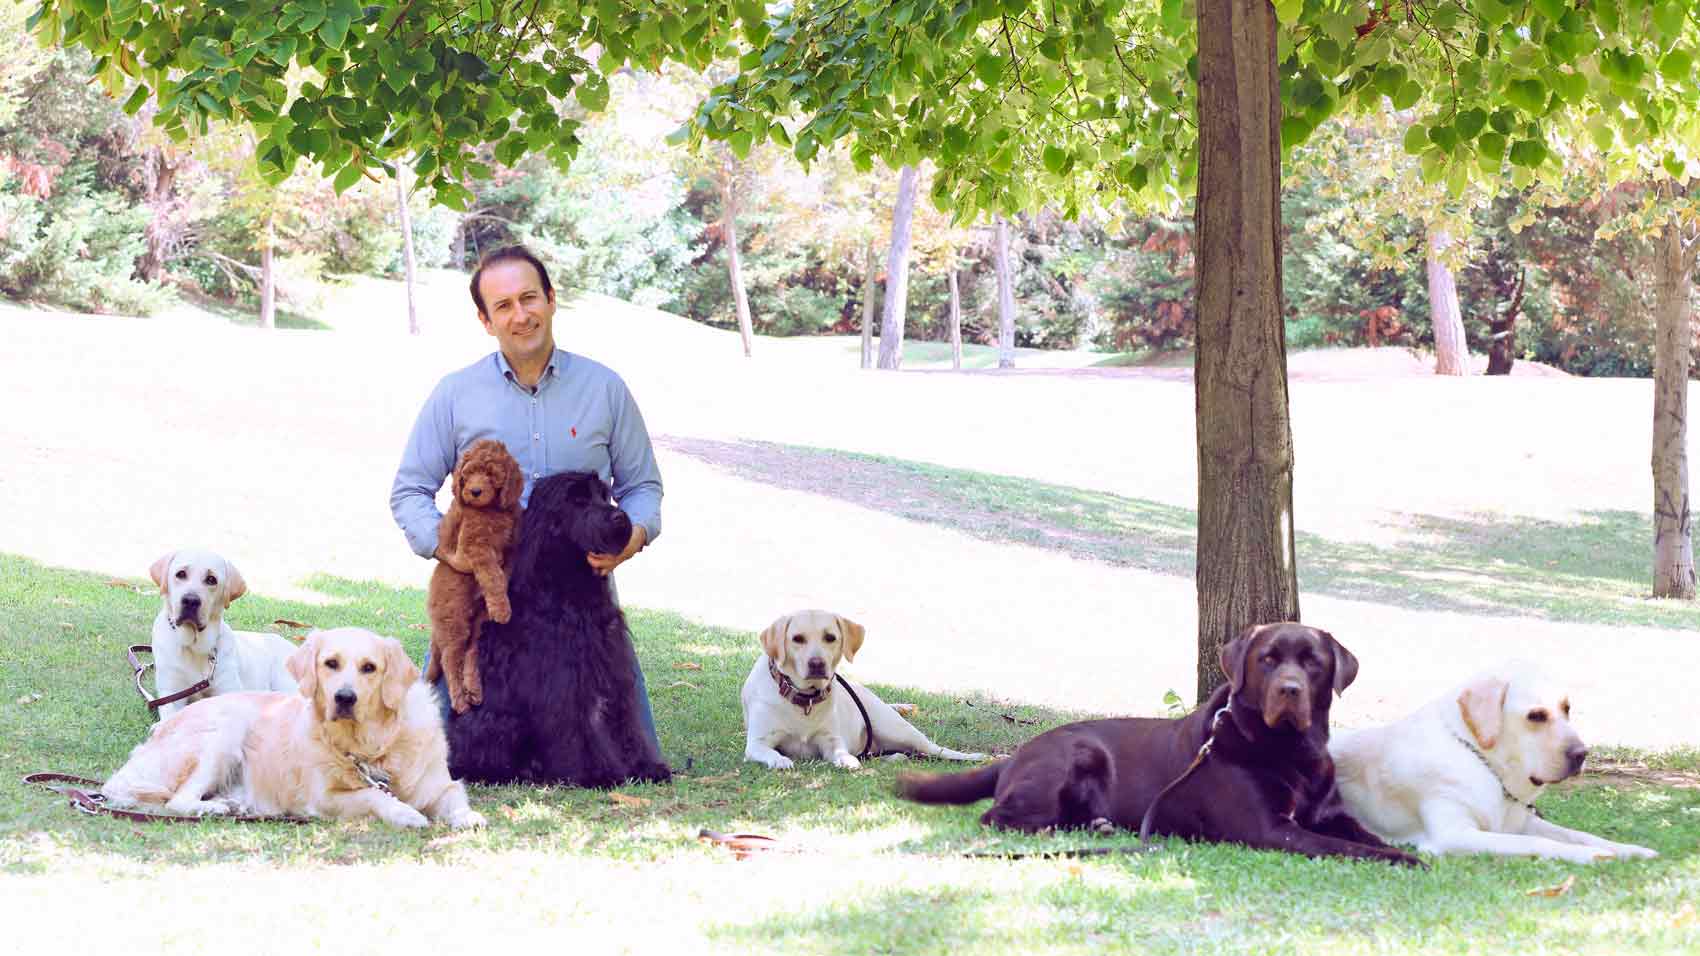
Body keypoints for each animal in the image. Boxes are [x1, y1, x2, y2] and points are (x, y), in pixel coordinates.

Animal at [438, 466, 669, 785]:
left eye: (603, 495)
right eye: (577, 500)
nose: (619, 518)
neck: (569, 587)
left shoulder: (612, 671)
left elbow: (624, 723)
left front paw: (644, 765)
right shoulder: (564, 681)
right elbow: (578, 728)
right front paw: (597, 773)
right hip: (495, 721)